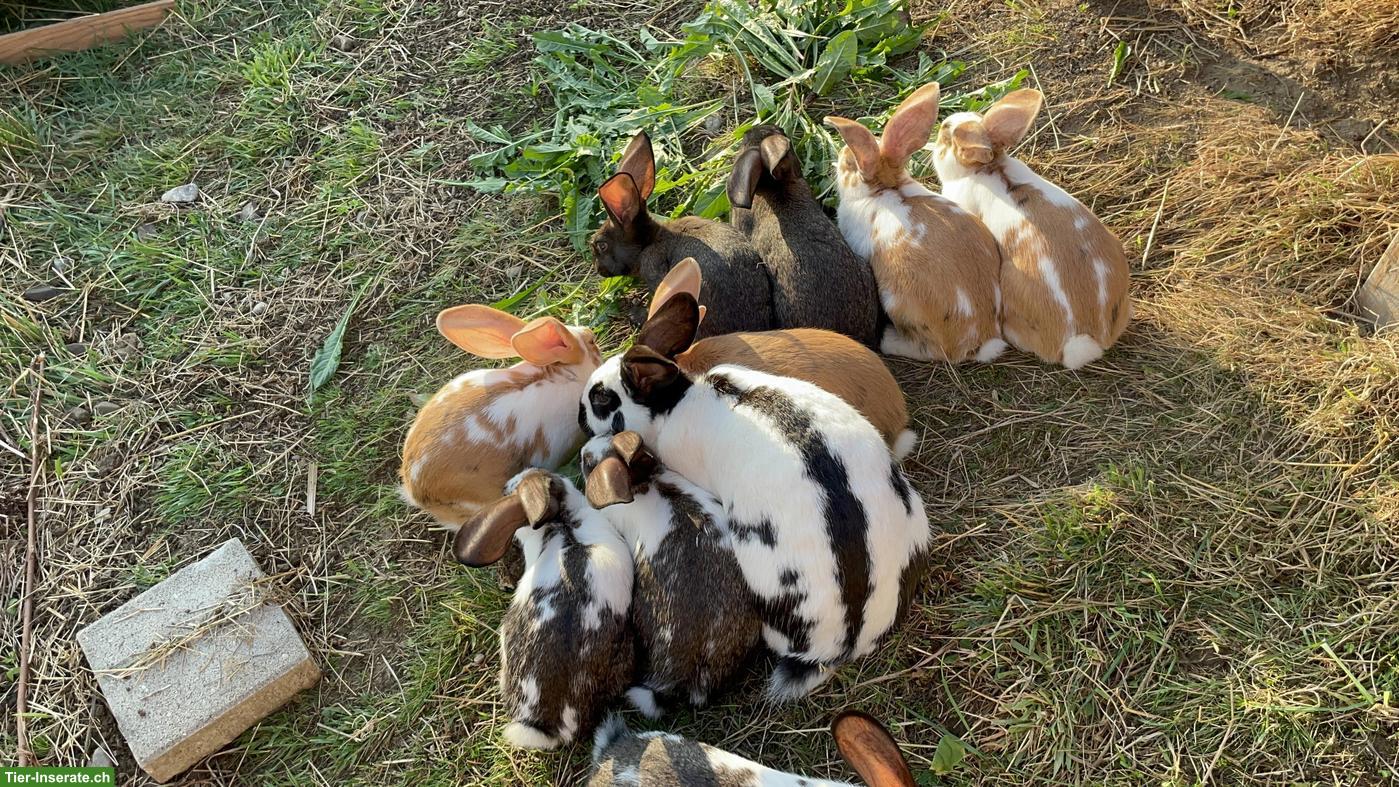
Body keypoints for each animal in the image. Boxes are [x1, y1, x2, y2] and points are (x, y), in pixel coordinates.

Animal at [826, 82, 1007, 364]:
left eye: (848, 164)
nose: (839, 158)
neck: (885, 188)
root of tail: (981, 337)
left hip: (900, 306)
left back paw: (889, 340)